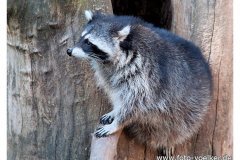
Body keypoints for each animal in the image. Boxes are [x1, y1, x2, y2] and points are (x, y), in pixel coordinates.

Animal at [66, 10, 213, 151]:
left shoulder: (145, 75)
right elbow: (115, 91)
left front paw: (117, 123)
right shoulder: (109, 73)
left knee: (181, 127)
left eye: (89, 42)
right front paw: (116, 109)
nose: (69, 51)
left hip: (191, 108)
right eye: (81, 38)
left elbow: (136, 103)